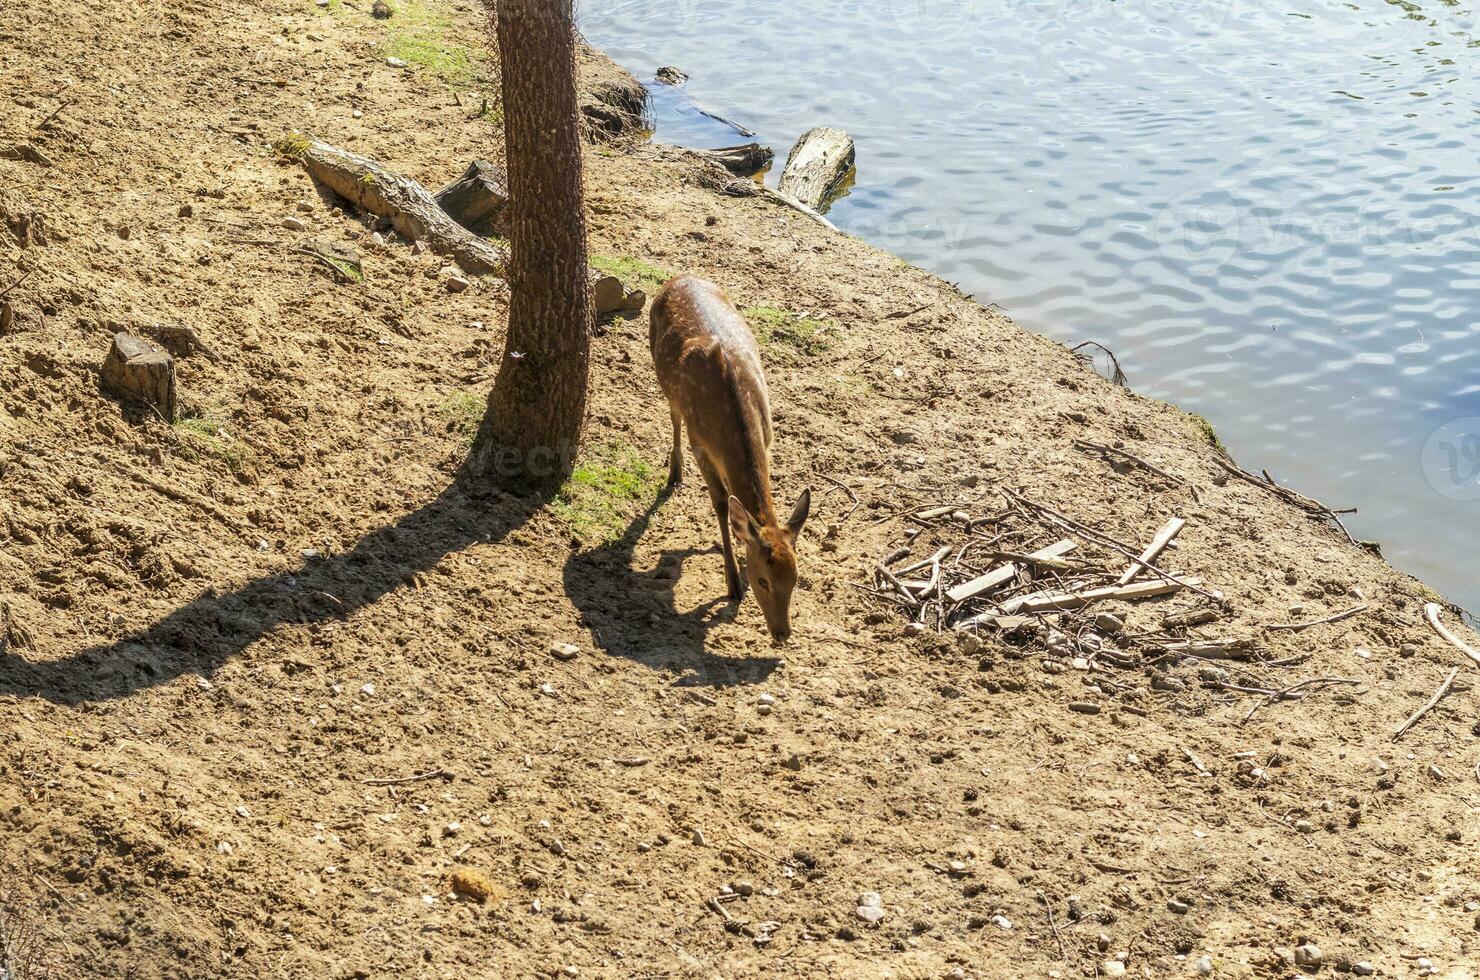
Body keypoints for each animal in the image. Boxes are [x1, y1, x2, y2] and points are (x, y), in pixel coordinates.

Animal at [648, 276, 811, 645]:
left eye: (795, 579)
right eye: (763, 580)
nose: (782, 633)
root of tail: (679, 277)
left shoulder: (768, 437)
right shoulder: (700, 443)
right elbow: (722, 503)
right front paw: (733, 583)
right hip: (662, 374)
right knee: (673, 415)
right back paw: (675, 473)